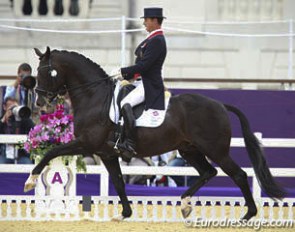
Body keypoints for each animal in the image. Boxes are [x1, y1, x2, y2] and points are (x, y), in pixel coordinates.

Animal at [24, 46, 286, 221]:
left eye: (46, 72)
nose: (40, 103)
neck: (93, 96)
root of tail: (220, 105)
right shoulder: (107, 153)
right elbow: (118, 182)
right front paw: (125, 213)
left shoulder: (86, 143)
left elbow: (51, 153)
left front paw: (30, 180)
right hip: (188, 149)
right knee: (208, 172)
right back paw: (185, 204)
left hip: (215, 150)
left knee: (238, 175)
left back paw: (247, 215)